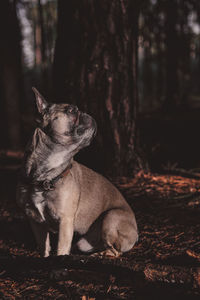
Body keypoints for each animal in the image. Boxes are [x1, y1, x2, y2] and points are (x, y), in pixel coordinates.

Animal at [16, 88, 138, 256]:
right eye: (71, 110)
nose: (85, 113)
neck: (45, 176)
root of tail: (136, 233)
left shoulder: (65, 221)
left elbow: (61, 249)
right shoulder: (36, 222)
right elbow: (44, 248)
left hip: (111, 218)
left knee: (115, 251)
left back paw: (101, 255)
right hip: (83, 242)